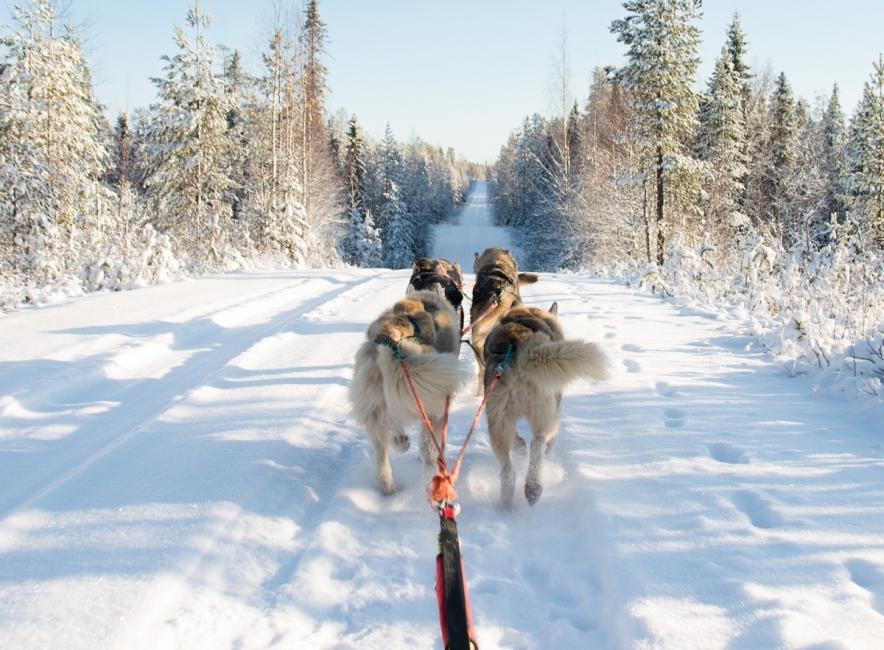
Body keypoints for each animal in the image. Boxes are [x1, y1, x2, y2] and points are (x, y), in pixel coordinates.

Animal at [348, 288, 466, 492]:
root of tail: (390, 339)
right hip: (432, 403)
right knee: (427, 449)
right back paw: (432, 479)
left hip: (375, 405)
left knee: (382, 449)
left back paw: (388, 482)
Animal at [484, 302, 608, 506]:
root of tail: (522, 349)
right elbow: (547, 448)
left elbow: (518, 442)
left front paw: (520, 448)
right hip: (546, 417)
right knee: (538, 443)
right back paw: (533, 487)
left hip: (498, 423)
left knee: (508, 470)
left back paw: (508, 500)